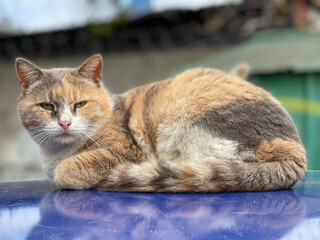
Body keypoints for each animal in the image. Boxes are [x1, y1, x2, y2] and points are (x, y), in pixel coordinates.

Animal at [15, 54, 308, 193]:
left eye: (80, 104)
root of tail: (295, 153)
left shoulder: (124, 152)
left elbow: (65, 172)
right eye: (46, 106)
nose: (64, 123)